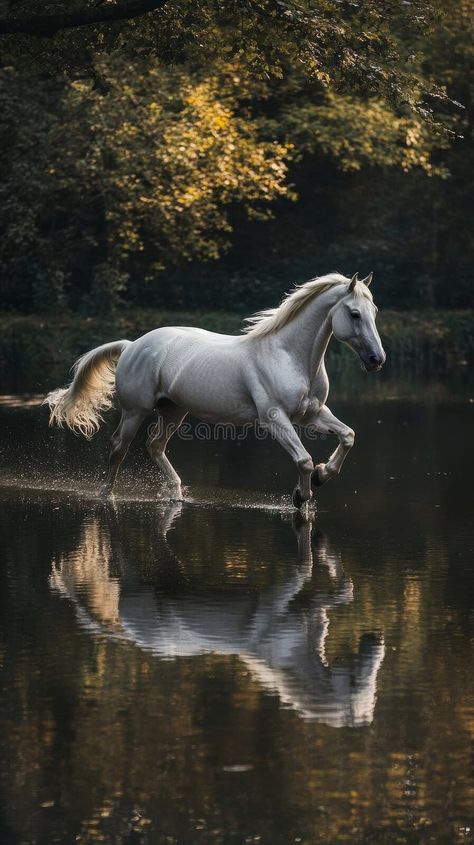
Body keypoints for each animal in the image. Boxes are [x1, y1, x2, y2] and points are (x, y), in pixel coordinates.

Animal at [46, 274, 386, 504]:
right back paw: (107, 496)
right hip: (135, 411)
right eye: (354, 314)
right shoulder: (274, 418)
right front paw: (302, 495)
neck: (289, 356)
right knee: (120, 448)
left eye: (375, 312)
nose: (376, 359)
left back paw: (177, 494)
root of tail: (132, 345)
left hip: (173, 410)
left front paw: (321, 475)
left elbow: (348, 435)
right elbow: (302, 459)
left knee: (155, 445)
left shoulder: (312, 415)